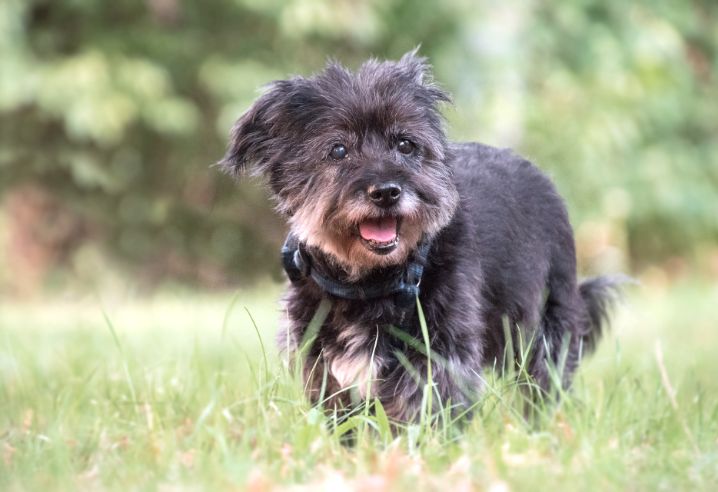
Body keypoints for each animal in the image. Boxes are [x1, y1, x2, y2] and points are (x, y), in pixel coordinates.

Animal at [221, 51, 624, 422]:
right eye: (337, 150)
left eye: (405, 144)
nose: (386, 191)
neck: (370, 281)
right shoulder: (320, 350)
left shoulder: (440, 347)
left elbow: (426, 403)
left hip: (544, 322)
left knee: (542, 380)